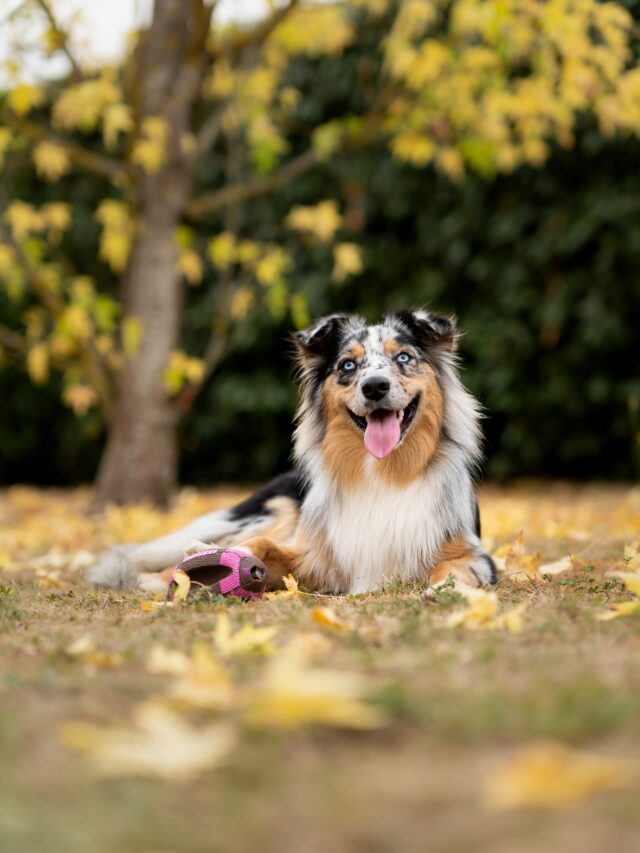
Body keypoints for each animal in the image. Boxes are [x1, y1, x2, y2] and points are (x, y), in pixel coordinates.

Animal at [86, 310, 496, 596]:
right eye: (348, 365)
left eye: (405, 359)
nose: (375, 386)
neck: (383, 472)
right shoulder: (311, 553)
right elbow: (263, 548)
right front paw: (212, 559)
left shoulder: (473, 553)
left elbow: (454, 569)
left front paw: (447, 589)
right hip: (271, 511)